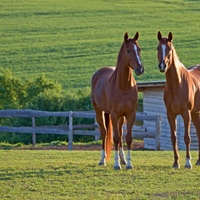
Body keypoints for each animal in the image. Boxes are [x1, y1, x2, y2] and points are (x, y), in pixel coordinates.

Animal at [90, 32, 144, 170]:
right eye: (128, 50)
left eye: (139, 49)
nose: (140, 69)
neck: (124, 86)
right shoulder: (114, 114)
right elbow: (115, 138)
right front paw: (116, 164)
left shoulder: (130, 114)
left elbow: (127, 138)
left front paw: (128, 163)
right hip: (99, 112)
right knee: (104, 133)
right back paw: (102, 160)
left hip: (121, 117)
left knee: (119, 134)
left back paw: (123, 159)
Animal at [157, 31, 199, 169]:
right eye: (158, 48)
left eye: (169, 48)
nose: (162, 66)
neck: (177, 84)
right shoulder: (170, 114)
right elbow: (173, 137)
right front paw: (176, 162)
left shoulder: (186, 113)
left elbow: (187, 138)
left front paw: (188, 162)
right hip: (195, 113)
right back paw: (199, 161)